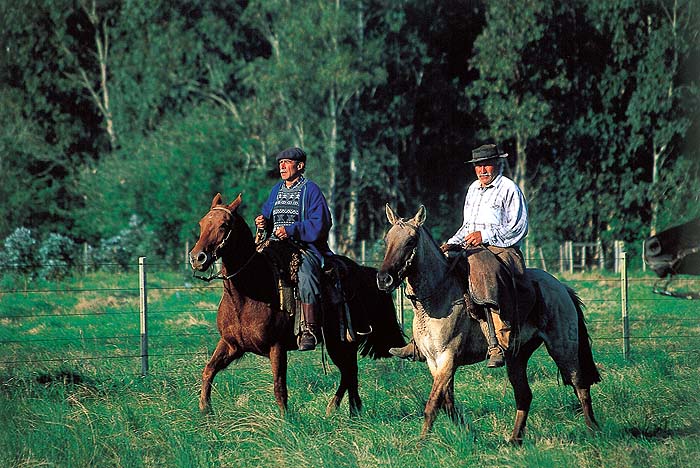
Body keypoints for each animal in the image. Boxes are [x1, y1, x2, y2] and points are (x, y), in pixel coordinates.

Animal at [189, 194, 404, 416]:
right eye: (202, 223)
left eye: (224, 225)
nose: (197, 258)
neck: (248, 293)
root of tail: (362, 271)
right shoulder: (231, 344)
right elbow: (209, 369)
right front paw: (205, 408)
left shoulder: (277, 347)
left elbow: (279, 386)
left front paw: (286, 419)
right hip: (338, 343)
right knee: (349, 372)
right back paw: (348, 410)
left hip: (341, 342)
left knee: (349, 371)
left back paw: (344, 410)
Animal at [374, 205, 600, 442]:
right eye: (387, 239)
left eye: (411, 240)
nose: (384, 279)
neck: (438, 296)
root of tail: (561, 287)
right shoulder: (433, 362)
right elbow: (447, 403)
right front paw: (470, 433)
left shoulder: (447, 359)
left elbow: (433, 405)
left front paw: (421, 442)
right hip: (517, 356)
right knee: (524, 395)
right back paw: (514, 440)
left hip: (563, 348)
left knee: (580, 385)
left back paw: (593, 431)